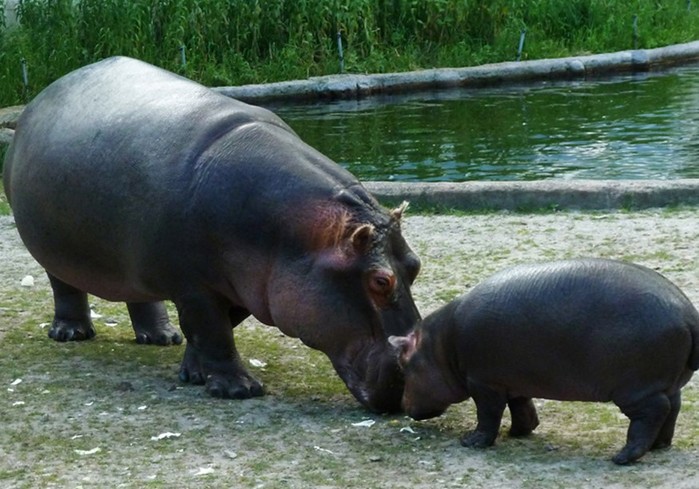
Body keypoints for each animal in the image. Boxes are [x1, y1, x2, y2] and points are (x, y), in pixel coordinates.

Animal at [4, 58, 422, 416]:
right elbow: (213, 330)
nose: (414, 374)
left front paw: (193, 373)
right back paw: (70, 333)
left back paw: (161, 337)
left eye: (415, 265)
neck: (300, 238)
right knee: (64, 286)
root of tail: (41, 96)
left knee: (139, 294)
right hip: (50, 249)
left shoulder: (249, 287)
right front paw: (239, 389)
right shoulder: (195, 286)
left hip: (132, 258)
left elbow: (210, 330)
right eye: (380, 281)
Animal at [392, 258, 696, 464]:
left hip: (635, 389)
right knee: (673, 407)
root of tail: (688, 312)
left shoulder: (483, 383)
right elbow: (522, 408)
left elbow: (488, 415)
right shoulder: (512, 381)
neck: (440, 346)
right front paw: (519, 432)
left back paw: (623, 457)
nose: (403, 406)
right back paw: (659, 446)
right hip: (668, 383)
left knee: (653, 412)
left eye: (403, 366)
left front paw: (471, 441)